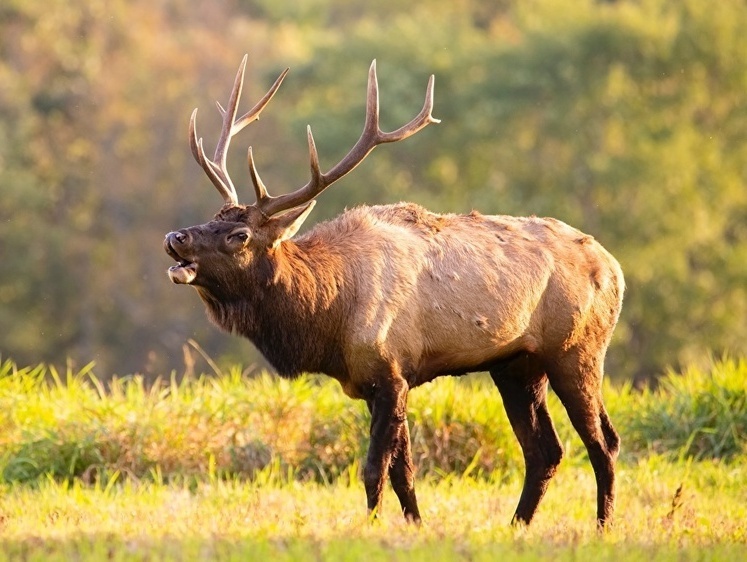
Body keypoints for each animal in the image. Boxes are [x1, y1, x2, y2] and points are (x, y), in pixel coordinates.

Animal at [165, 55, 624, 524]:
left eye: (238, 235)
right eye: (212, 217)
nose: (175, 237)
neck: (328, 317)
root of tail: (614, 268)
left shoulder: (390, 372)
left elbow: (374, 469)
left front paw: (371, 526)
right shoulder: (375, 382)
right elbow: (403, 472)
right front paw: (415, 524)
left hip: (577, 350)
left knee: (603, 442)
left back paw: (602, 525)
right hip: (517, 365)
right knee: (545, 450)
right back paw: (517, 525)